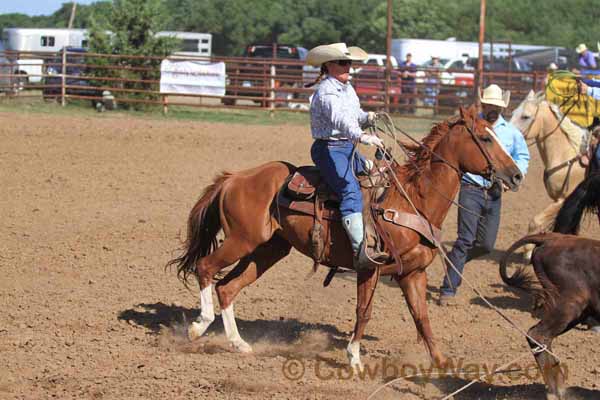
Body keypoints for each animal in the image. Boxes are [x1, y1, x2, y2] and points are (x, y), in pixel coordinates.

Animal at [168, 104, 520, 370]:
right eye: (485, 139)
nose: (516, 175)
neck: (411, 200)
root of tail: (234, 178)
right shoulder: (369, 267)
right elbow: (364, 312)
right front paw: (354, 358)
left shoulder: (413, 273)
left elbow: (422, 317)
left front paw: (441, 362)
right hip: (242, 241)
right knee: (206, 268)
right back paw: (199, 326)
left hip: (268, 250)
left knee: (227, 288)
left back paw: (239, 344)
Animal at [508, 90, 588, 258]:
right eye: (513, 112)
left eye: (525, 116)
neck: (566, 155)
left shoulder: (563, 200)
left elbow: (536, 221)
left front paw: (528, 250)